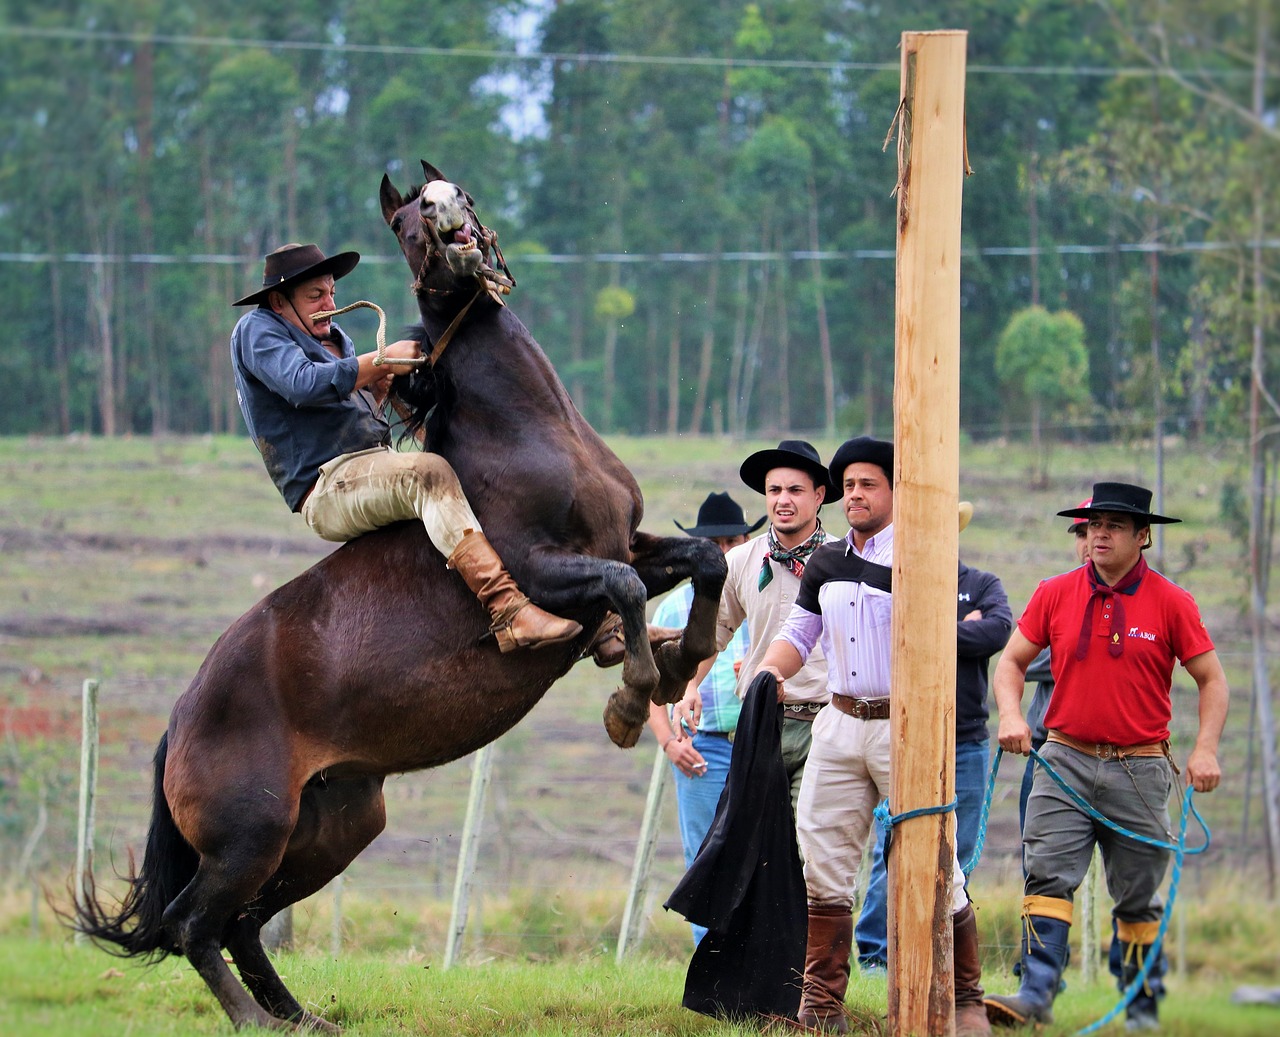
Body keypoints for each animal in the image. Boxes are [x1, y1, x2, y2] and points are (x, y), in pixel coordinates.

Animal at [72, 161, 732, 1024]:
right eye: (407, 222)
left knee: (244, 924)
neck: (529, 432)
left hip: (331, 825)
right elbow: (617, 589)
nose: (450, 219)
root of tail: (179, 723)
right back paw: (255, 1019)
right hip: (252, 833)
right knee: (195, 923)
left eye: (464, 193)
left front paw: (680, 657)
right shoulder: (547, 568)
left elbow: (704, 562)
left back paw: (301, 1017)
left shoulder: (627, 542)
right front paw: (631, 695)